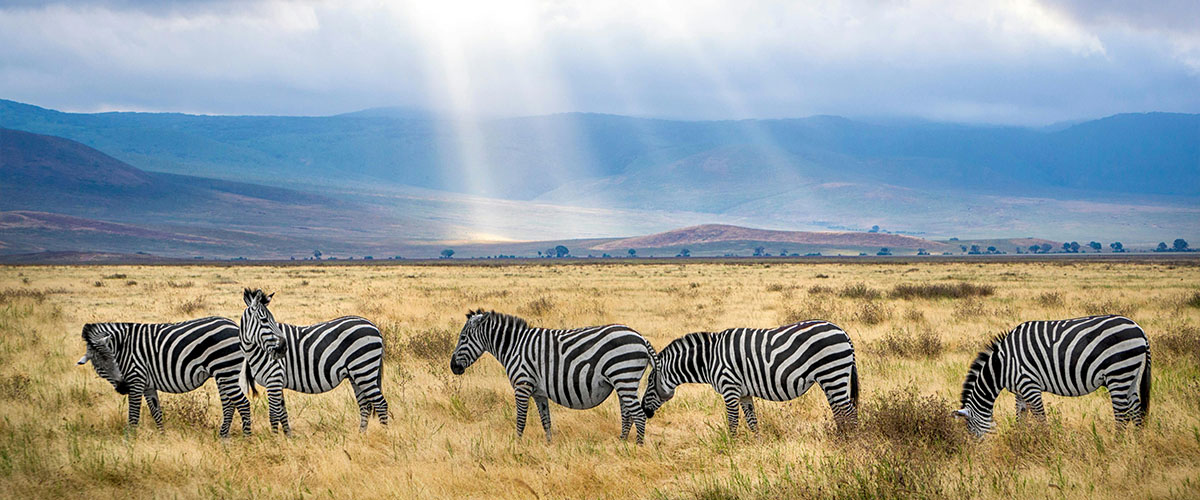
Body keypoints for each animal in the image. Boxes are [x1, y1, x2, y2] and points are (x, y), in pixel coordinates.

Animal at [75, 316, 253, 436]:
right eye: (100, 366)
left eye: (114, 359)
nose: (123, 387)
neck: (123, 347)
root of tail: (234, 325)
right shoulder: (147, 385)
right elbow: (156, 412)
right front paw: (162, 436)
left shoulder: (136, 379)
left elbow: (133, 415)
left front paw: (129, 442)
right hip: (222, 374)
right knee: (229, 405)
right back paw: (223, 437)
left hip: (226, 370)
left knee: (243, 404)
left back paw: (246, 439)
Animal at [241, 287, 391, 431]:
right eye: (265, 320)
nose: (284, 348)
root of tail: (374, 326)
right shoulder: (278, 381)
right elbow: (283, 414)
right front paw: (288, 437)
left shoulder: (274, 378)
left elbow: (273, 415)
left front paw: (276, 438)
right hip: (356, 375)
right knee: (365, 405)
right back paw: (361, 435)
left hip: (364, 369)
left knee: (381, 404)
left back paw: (384, 434)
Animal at [448, 306, 657, 443]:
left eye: (463, 338)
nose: (453, 367)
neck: (514, 346)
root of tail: (641, 337)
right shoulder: (539, 392)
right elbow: (545, 420)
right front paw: (549, 445)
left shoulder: (522, 385)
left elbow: (521, 419)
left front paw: (517, 444)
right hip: (623, 382)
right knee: (627, 414)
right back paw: (621, 443)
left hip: (624, 377)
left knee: (639, 415)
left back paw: (637, 448)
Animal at [643, 318, 859, 431]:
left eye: (650, 382)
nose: (645, 410)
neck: (709, 359)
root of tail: (842, 332)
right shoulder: (744, 393)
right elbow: (752, 421)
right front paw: (756, 446)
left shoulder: (729, 388)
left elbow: (732, 422)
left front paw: (731, 449)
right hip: (829, 379)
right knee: (839, 411)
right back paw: (840, 438)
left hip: (833, 374)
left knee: (849, 411)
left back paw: (850, 442)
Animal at [955, 316, 1152, 436]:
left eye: (970, 430)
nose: (975, 453)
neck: (1002, 365)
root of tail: (1139, 329)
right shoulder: (1019, 391)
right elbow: (1021, 417)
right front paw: (1019, 440)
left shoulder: (1029, 385)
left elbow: (1041, 419)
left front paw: (1046, 444)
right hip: (1131, 375)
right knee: (1136, 411)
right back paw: (1138, 446)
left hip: (1118, 373)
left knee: (1122, 415)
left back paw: (1116, 446)